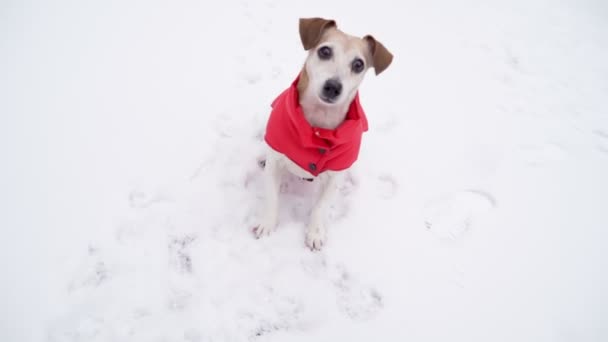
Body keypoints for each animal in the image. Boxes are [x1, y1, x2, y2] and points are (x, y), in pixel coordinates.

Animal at [253, 17, 392, 250]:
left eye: (358, 64)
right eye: (325, 51)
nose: (333, 87)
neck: (319, 126)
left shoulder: (335, 176)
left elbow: (321, 205)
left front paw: (315, 232)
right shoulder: (275, 163)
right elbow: (272, 196)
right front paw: (267, 224)